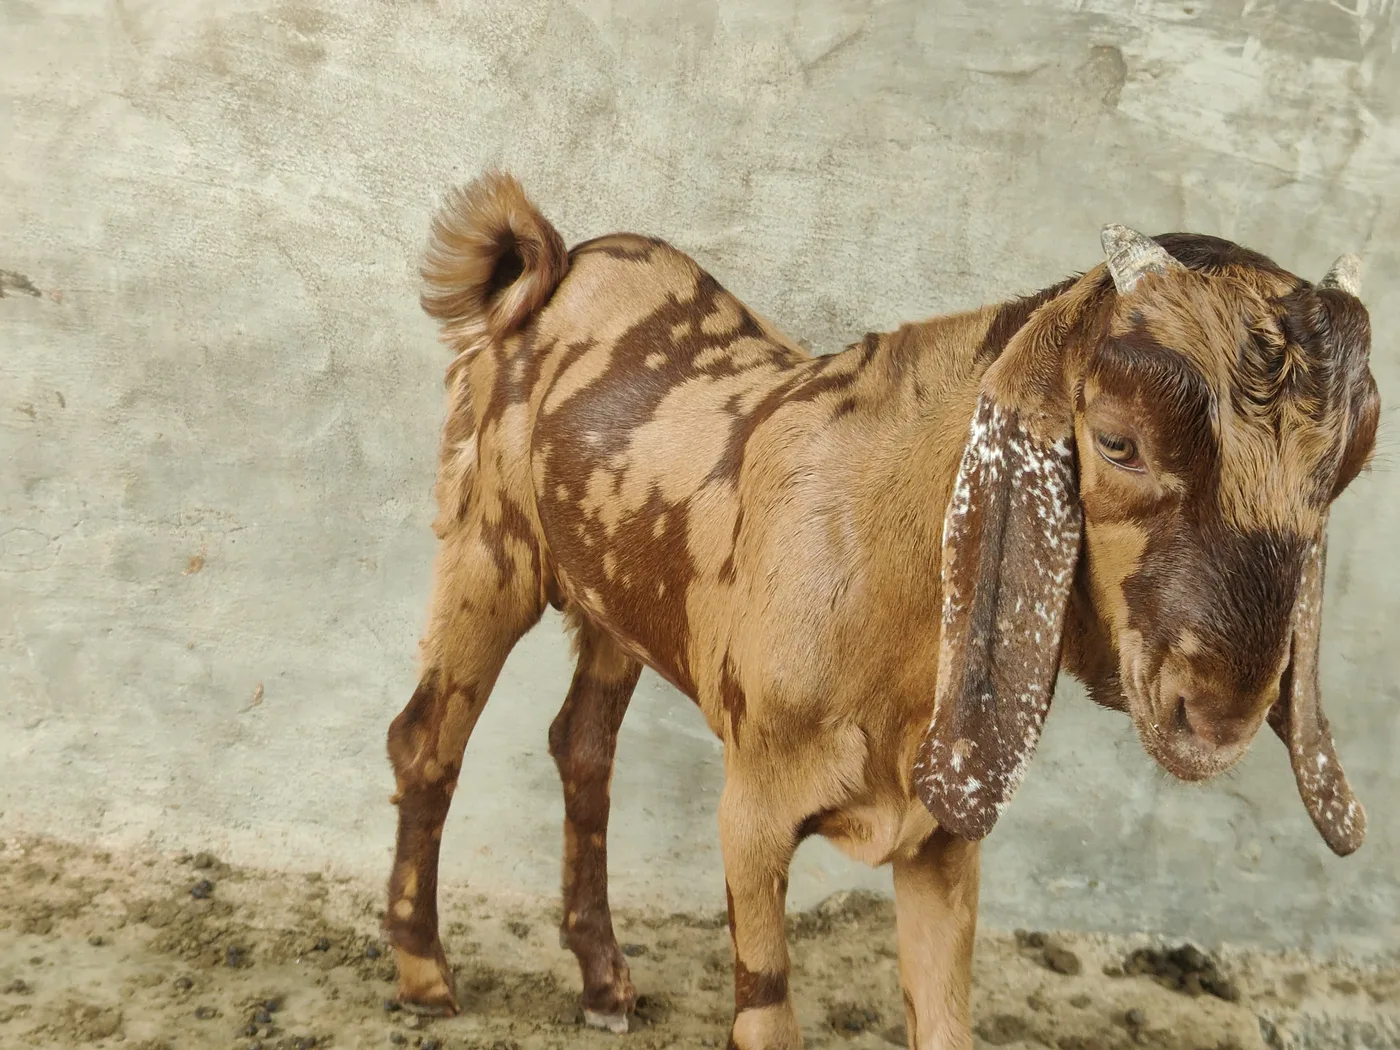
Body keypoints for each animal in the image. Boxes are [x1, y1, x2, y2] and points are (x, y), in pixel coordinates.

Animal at [383, 171, 1379, 1050]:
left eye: (1342, 474)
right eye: (1117, 441)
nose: (1218, 715)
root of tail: (554, 266)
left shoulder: (942, 833)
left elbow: (944, 1018)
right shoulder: (752, 811)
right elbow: (767, 1015)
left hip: (612, 604)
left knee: (582, 747)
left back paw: (604, 985)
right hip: (488, 547)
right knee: (426, 740)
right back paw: (426, 975)